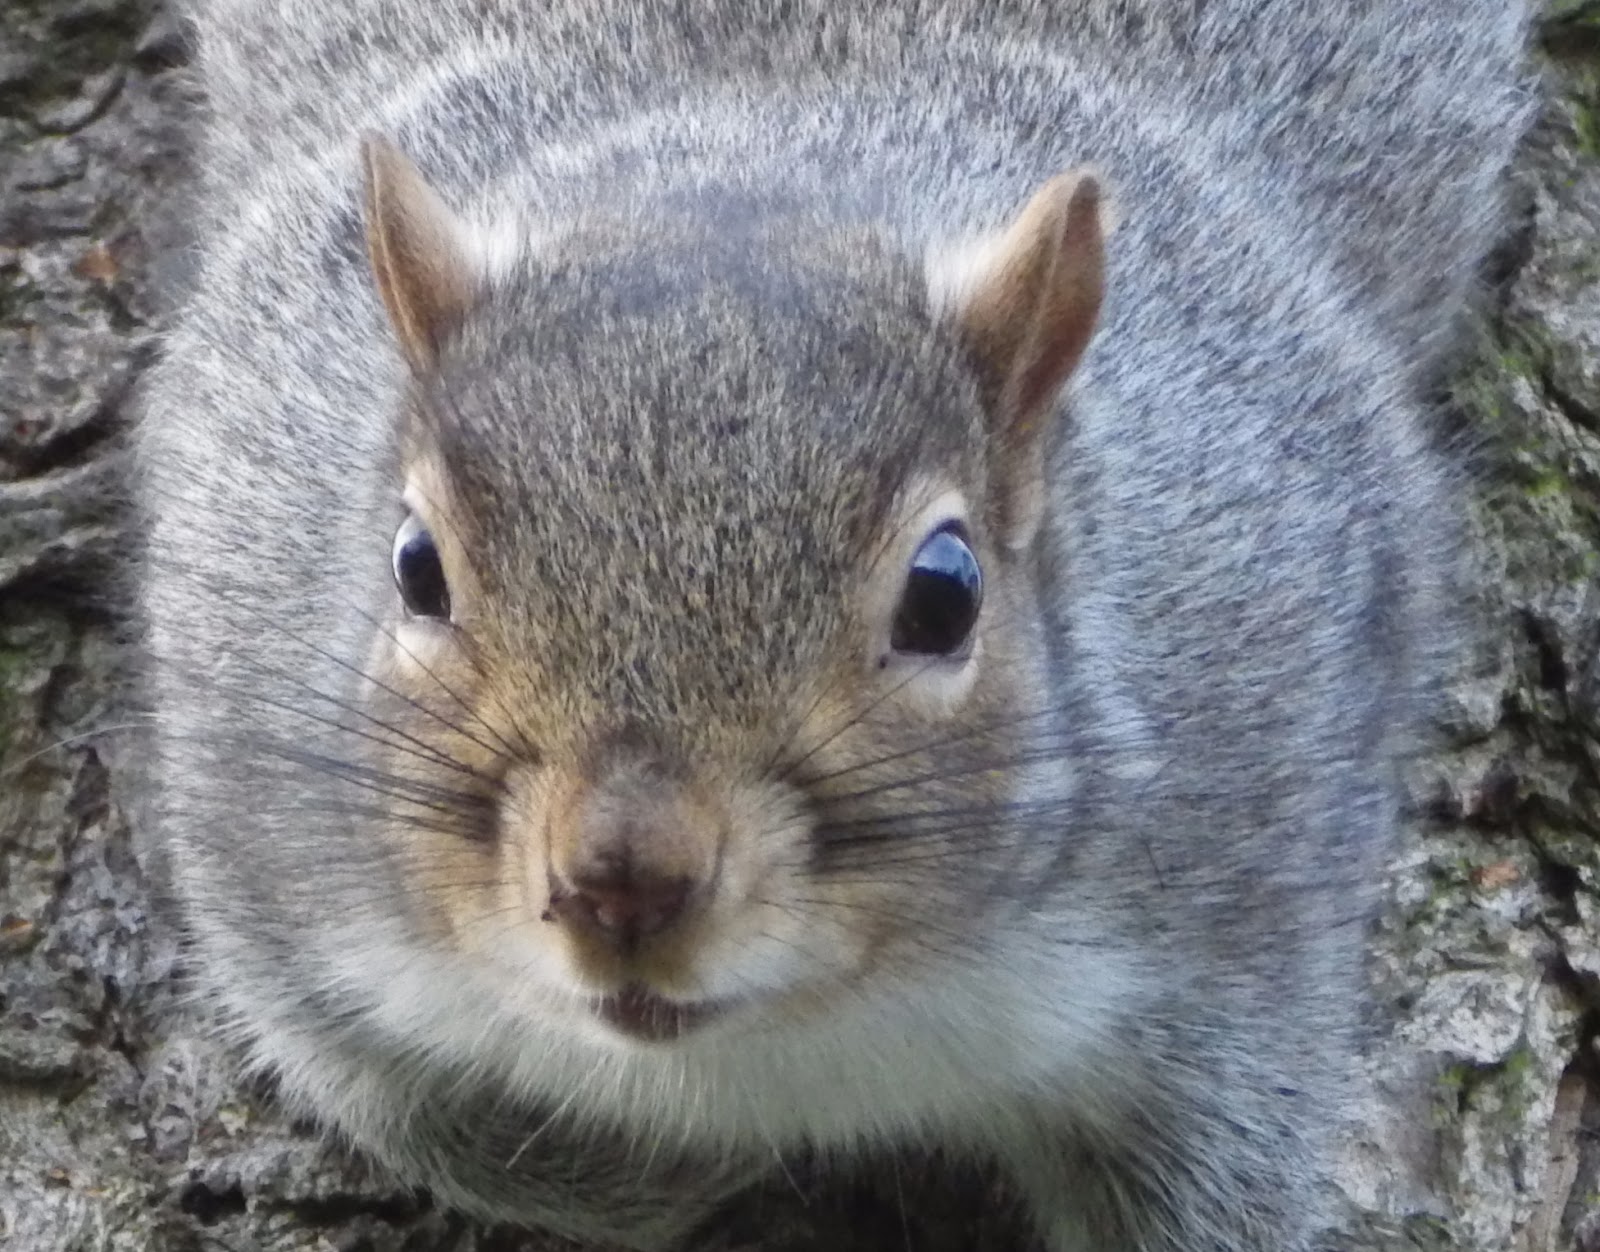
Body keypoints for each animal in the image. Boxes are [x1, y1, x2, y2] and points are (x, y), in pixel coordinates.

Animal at [133, 2, 1536, 1250]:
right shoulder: (270, 869)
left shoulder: (1243, 924)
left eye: (945, 592)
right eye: (415, 568)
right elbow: (421, 1118)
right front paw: (684, 1177)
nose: (623, 878)